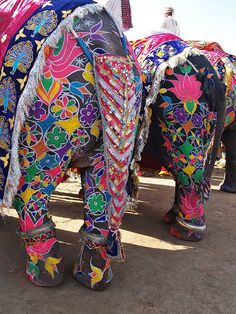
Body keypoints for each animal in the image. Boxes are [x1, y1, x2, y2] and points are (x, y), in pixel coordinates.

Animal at [129, 33, 227, 242]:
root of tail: (213, 77)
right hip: (207, 118)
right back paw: (172, 218)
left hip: (184, 110)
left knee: (188, 167)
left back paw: (185, 232)